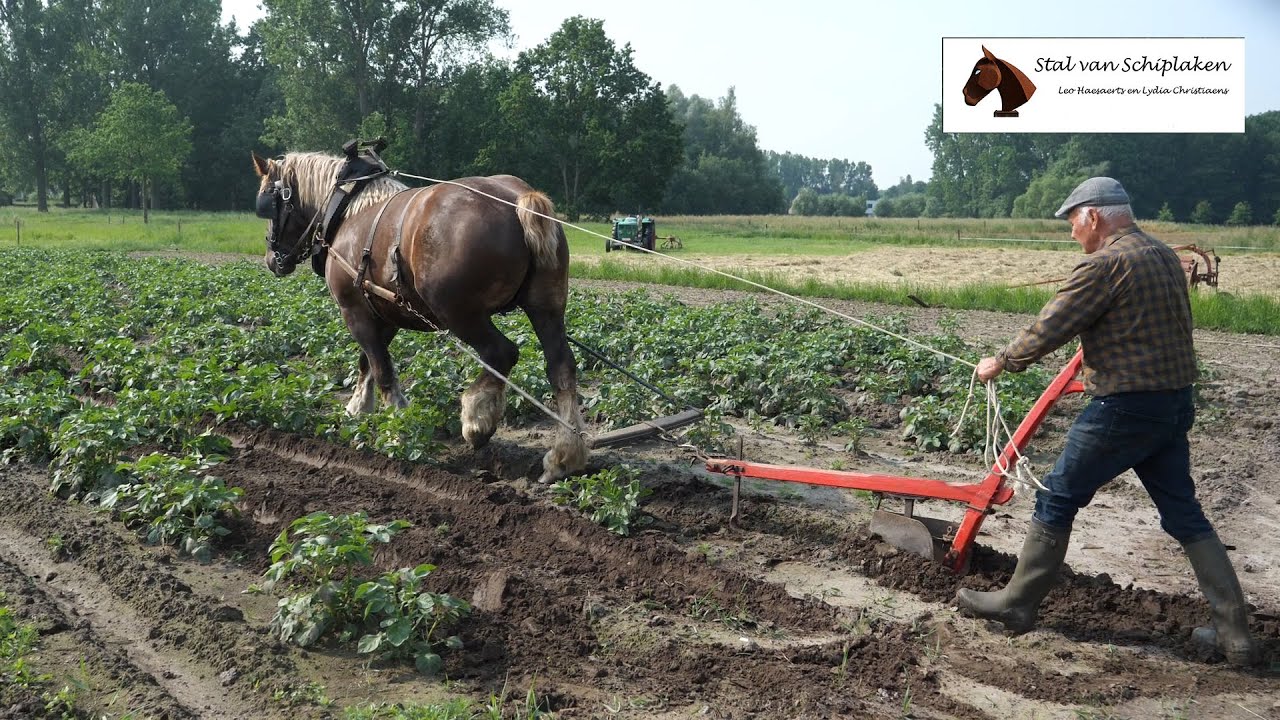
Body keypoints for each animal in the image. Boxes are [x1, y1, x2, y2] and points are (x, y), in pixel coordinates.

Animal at [250, 150, 589, 483]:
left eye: (267, 201)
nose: (272, 259)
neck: (347, 211)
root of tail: (518, 199)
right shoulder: (383, 313)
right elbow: (367, 363)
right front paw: (357, 410)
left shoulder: (354, 310)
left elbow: (383, 371)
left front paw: (399, 431)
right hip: (546, 307)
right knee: (560, 365)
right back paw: (564, 455)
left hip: (459, 312)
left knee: (501, 353)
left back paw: (476, 421)